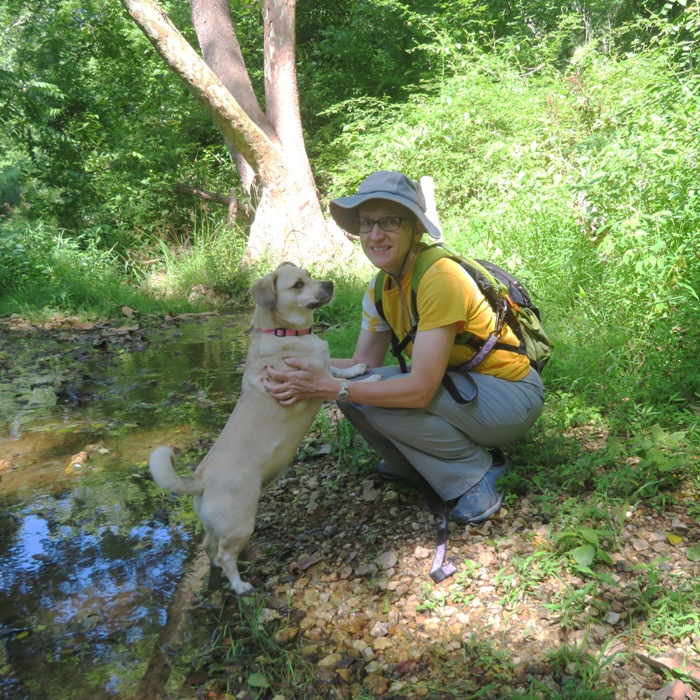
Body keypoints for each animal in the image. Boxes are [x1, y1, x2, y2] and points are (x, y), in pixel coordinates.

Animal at [150, 266, 374, 592]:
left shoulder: (325, 367)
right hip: (241, 523)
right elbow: (337, 381)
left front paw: (357, 369)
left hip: (217, 527)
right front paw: (367, 379)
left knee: (209, 548)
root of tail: (201, 478)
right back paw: (240, 585)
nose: (330, 283)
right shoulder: (316, 381)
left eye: (308, 274)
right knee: (224, 555)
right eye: (298, 284)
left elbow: (339, 369)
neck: (282, 332)